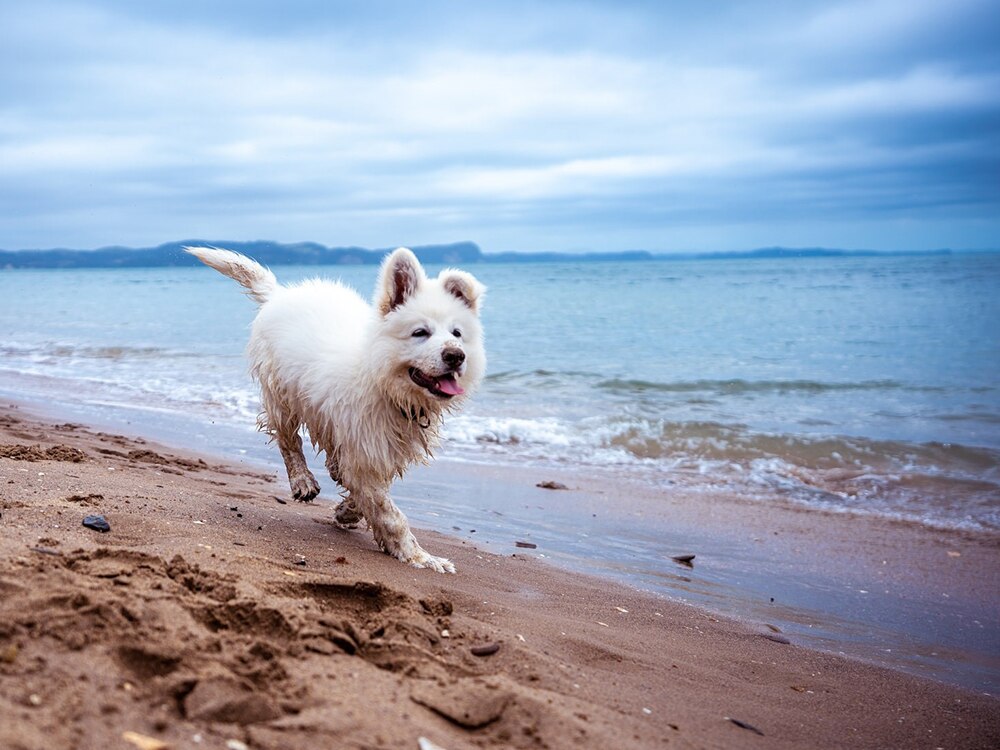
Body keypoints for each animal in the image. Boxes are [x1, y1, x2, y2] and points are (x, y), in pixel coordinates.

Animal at [188, 248, 488, 576]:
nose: (456, 356)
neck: (382, 380)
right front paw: (420, 557)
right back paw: (302, 480)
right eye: (420, 332)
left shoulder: (374, 449)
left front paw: (347, 511)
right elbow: (390, 513)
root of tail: (280, 294)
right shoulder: (365, 449)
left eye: (457, 333)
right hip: (281, 394)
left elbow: (366, 493)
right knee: (288, 440)